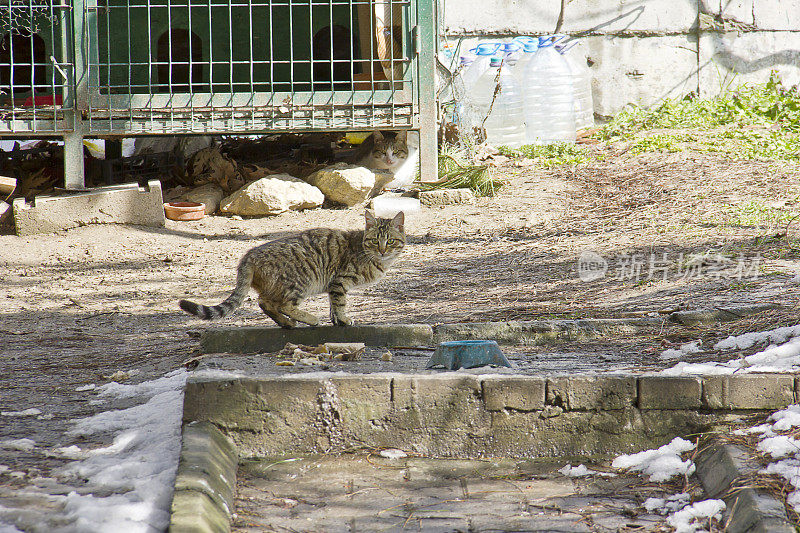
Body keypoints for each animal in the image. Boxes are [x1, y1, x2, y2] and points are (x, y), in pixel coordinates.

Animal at [181, 211, 406, 328]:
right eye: (375, 241)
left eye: (391, 241)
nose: (383, 250)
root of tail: (249, 255)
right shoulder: (340, 280)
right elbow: (339, 302)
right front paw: (343, 319)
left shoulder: (334, 285)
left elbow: (333, 303)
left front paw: (336, 320)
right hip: (299, 282)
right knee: (283, 305)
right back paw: (309, 319)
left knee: (265, 303)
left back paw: (287, 323)